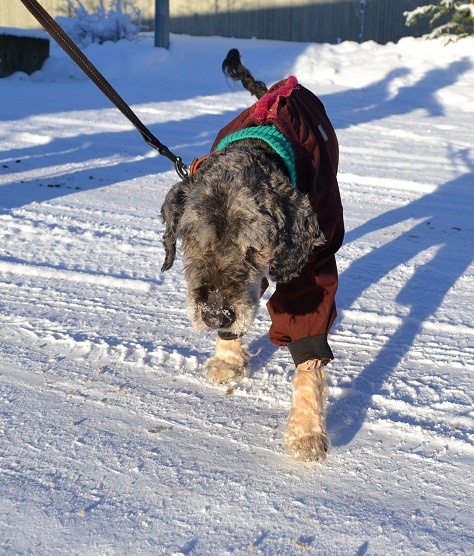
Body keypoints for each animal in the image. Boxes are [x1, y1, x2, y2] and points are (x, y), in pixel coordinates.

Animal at [161, 49, 344, 461]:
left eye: (255, 247)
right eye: (192, 241)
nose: (215, 316)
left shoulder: (309, 267)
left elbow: (308, 344)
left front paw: (306, 431)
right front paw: (228, 358)